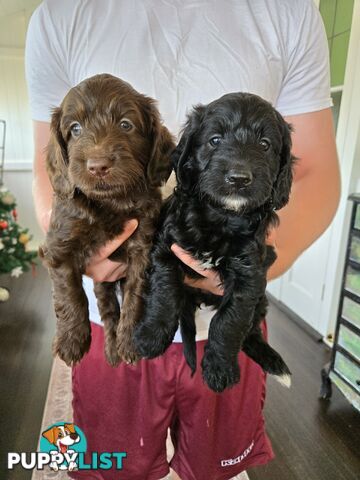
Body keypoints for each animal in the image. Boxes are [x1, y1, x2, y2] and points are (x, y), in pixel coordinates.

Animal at [39, 74, 174, 368]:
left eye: (125, 124)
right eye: (75, 129)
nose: (98, 165)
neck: (109, 202)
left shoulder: (143, 246)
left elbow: (136, 294)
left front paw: (131, 342)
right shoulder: (59, 246)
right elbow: (69, 292)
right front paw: (71, 341)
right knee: (108, 308)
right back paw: (110, 349)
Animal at [134, 92, 294, 392]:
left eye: (265, 145)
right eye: (215, 140)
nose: (239, 178)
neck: (221, 217)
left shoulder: (250, 275)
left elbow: (230, 320)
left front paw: (220, 367)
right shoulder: (165, 248)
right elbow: (165, 291)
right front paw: (150, 336)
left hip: (261, 299)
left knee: (251, 330)